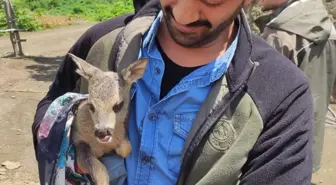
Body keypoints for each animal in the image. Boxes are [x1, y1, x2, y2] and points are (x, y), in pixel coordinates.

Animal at [68, 52, 147, 184]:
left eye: (118, 105)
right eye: (91, 105)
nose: (102, 132)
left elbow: (127, 149)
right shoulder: (77, 141)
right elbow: (99, 169)